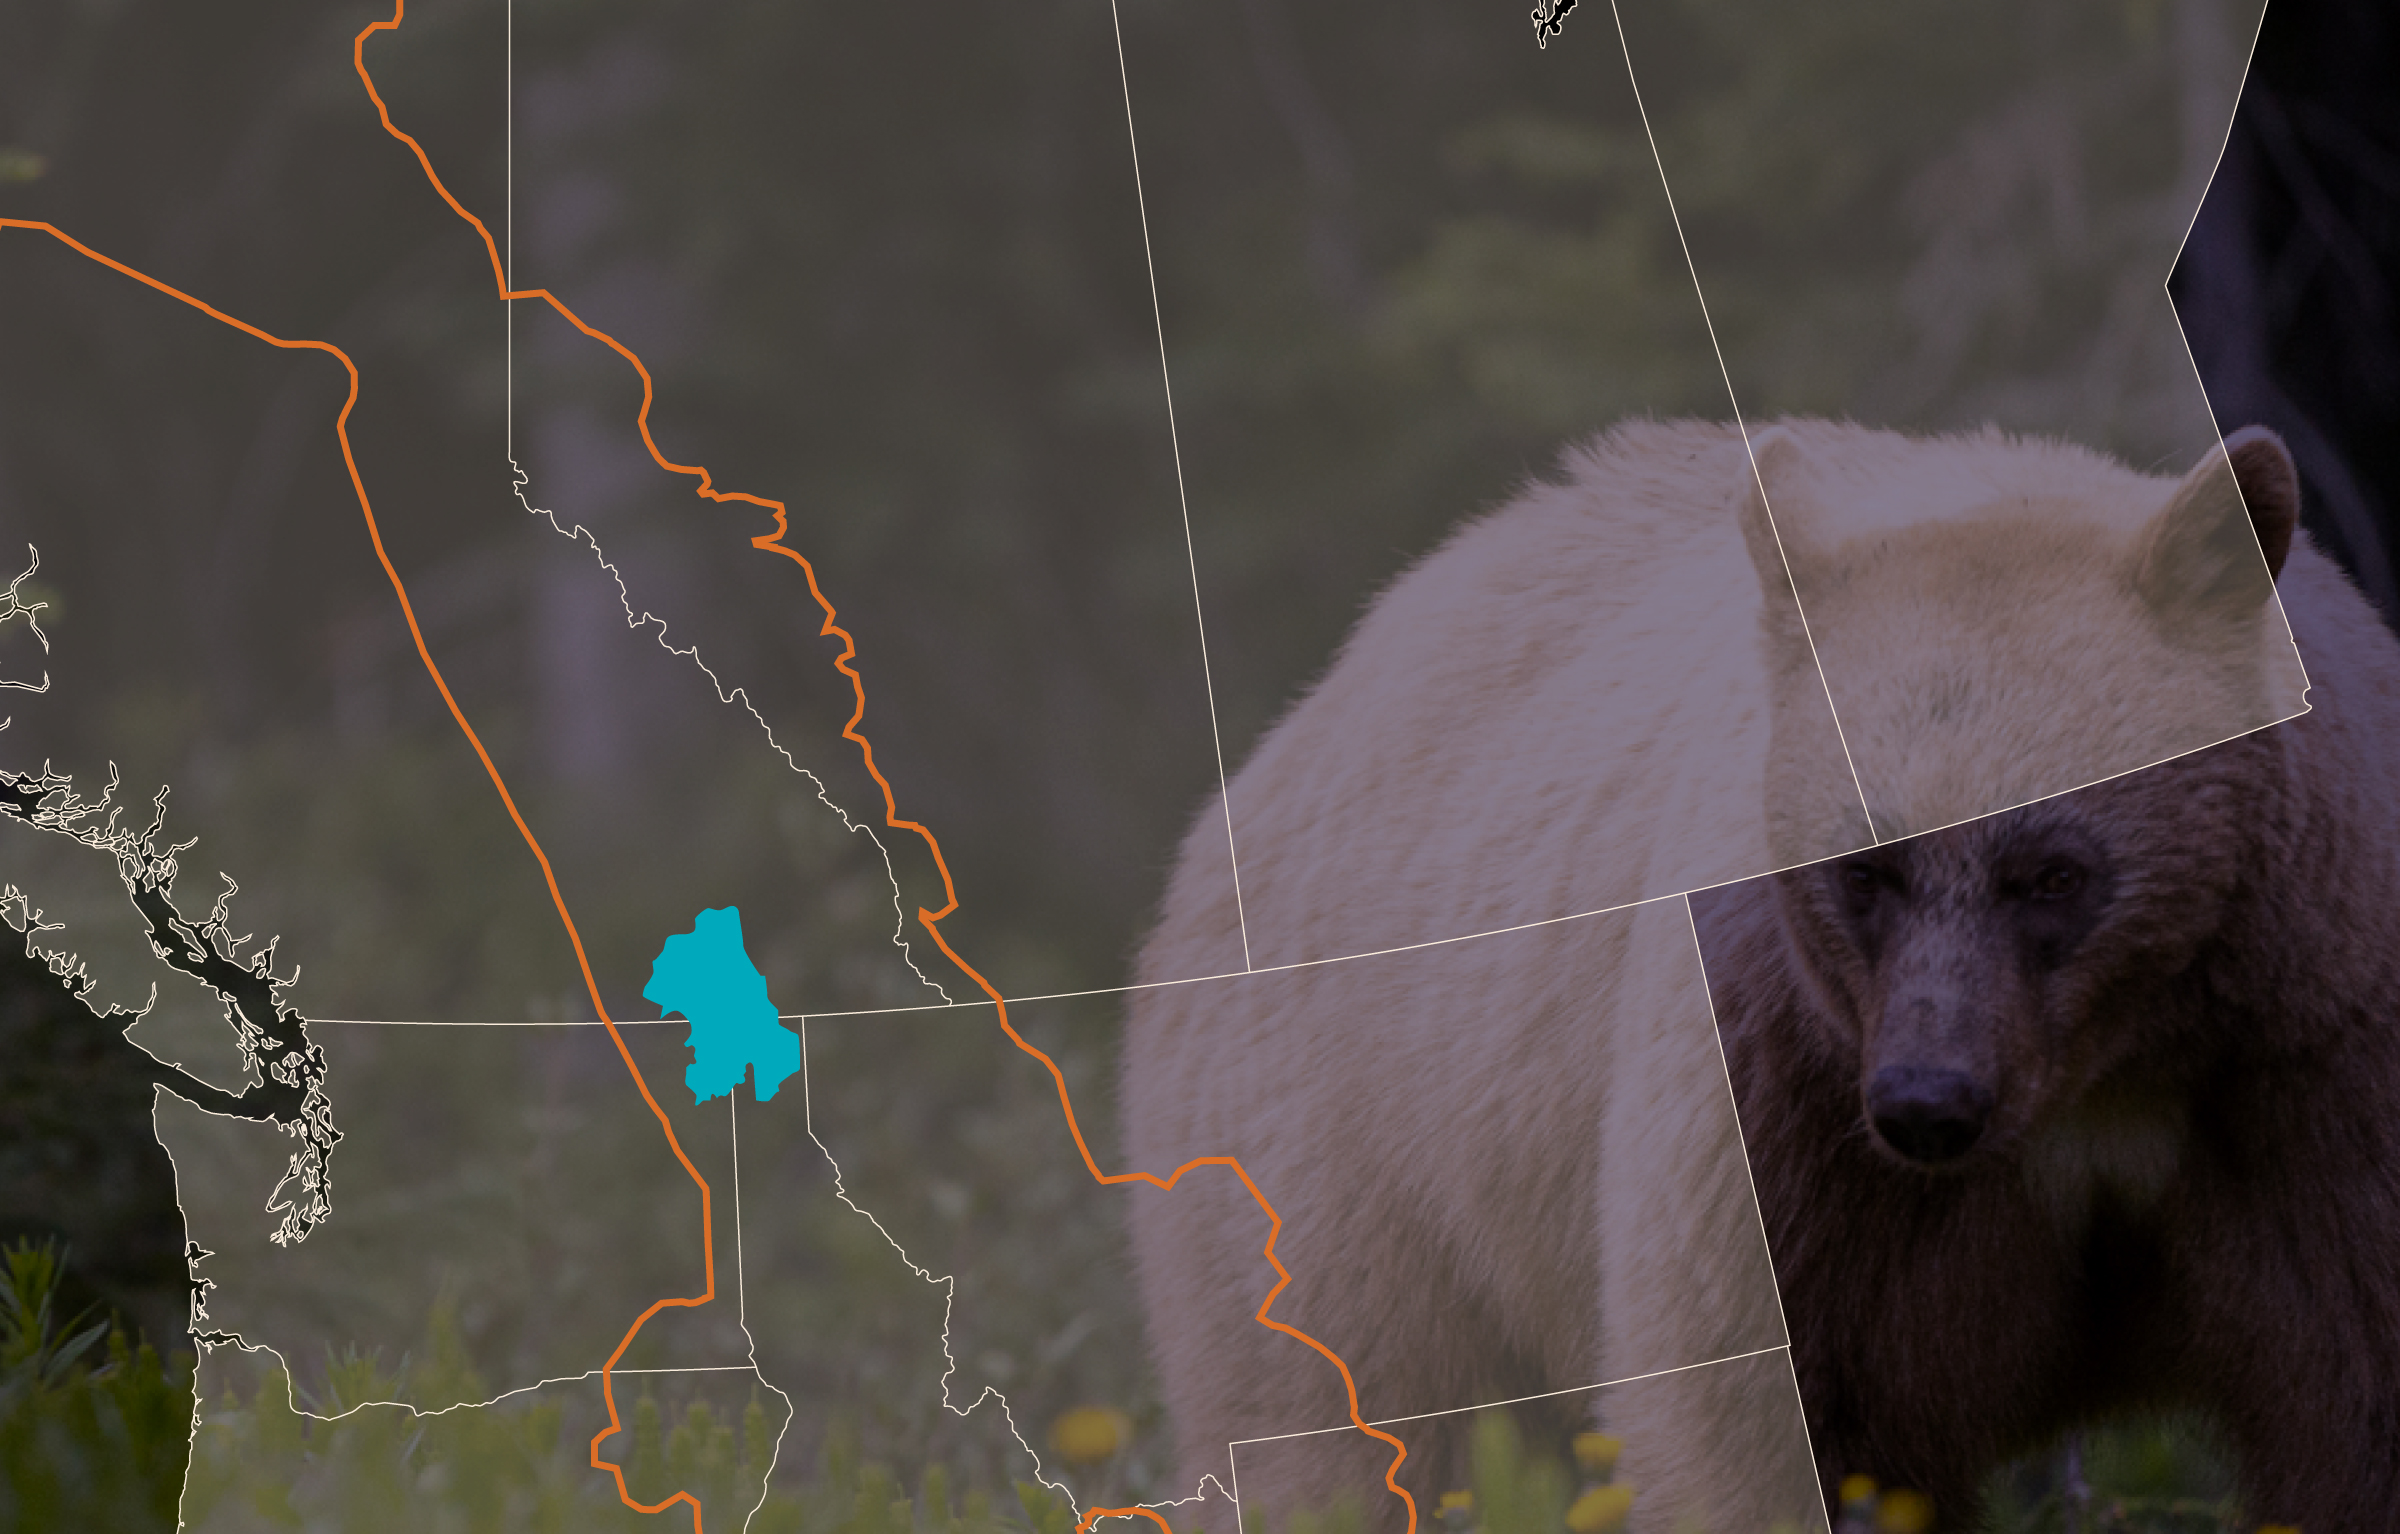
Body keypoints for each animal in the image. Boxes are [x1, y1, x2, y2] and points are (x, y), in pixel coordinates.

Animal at [1119, 416, 2350, 1534]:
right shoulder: (1776, 1119)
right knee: (1341, 1430)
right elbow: (1752, 1410)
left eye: (2055, 872)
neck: (2098, 1079)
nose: (1931, 1097)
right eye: (1862, 865)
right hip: (1347, 1155)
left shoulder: (2298, 1067)